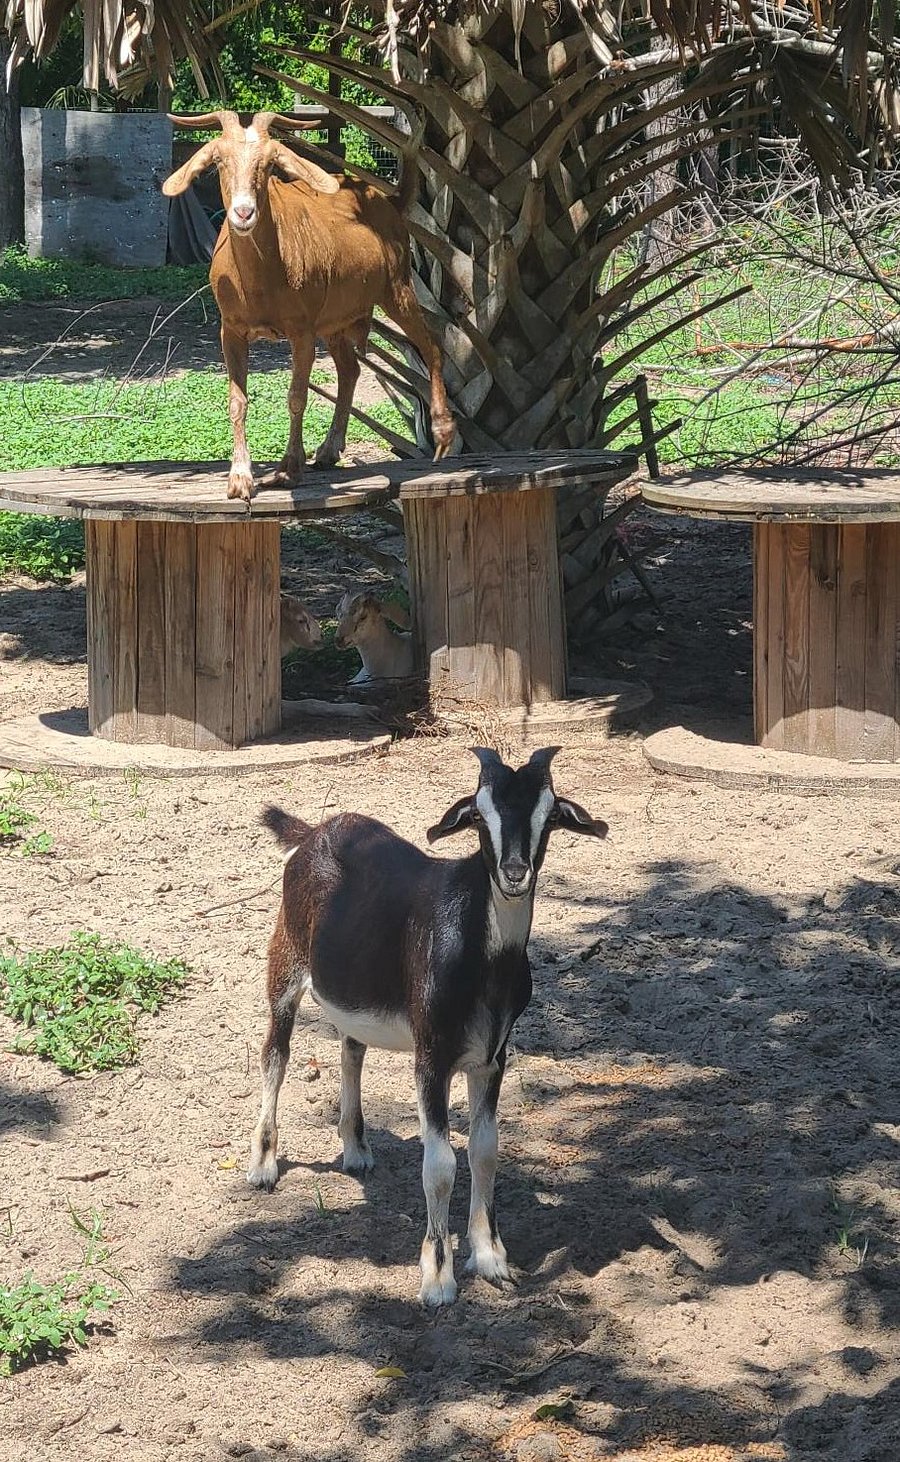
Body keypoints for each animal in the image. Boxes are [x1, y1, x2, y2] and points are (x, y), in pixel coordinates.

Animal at [161, 110, 455, 502]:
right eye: (219, 161)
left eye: (270, 163)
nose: (243, 213)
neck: (261, 282)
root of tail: (387, 199)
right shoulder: (231, 329)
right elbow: (237, 400)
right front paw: (240, 478)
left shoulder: (301, 330)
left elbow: (297, 396)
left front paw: (288, 469)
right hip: (335, 322)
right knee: (350, 370)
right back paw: (329, 450)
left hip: (398, 289)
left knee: (431, 347)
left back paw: (442, 433)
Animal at [248, 747, 607, 1306]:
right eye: (479, 814)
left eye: (549, 816)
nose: (514, 872)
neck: (482, 956)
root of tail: (314, 833)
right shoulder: (431, 1057)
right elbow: (440, 1165)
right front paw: (438, 1278)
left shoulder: (492, 1058)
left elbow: (485, 1152)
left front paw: (491, 1258)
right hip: (285, 958)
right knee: (275, 1054)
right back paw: (264, 1164)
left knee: (351, 1049)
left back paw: (356, 1150)